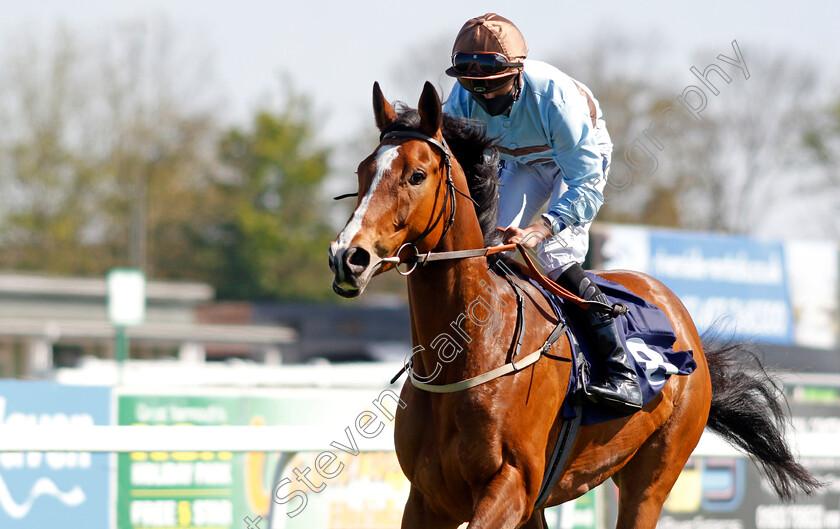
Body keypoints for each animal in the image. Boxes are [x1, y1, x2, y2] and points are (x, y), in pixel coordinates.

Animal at [330, 80, 820, 524]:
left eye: (416, 175)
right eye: (361, 172)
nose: (347, 257)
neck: (469, 354)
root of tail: (684, 324)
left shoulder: (512, 486)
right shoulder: (429, 499)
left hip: (653, 476)